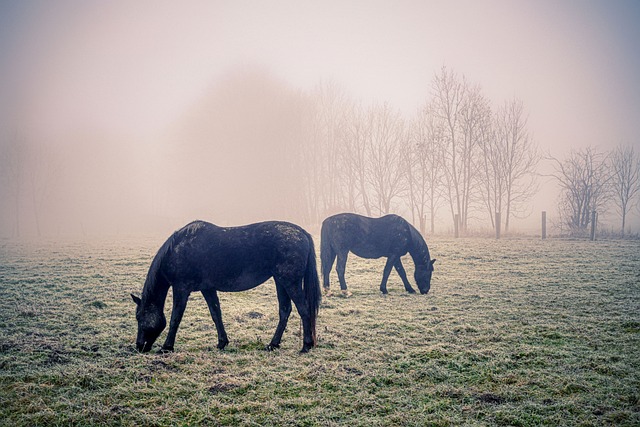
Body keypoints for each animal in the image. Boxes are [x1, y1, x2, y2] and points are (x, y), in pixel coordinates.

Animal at [131, 221, 320, 354]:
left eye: (139, 317)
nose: (139, 346)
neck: (178, 250)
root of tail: (302, 233)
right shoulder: (207, 289)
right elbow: (216, 314)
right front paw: (222, 342)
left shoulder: (181, 289)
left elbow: (175, 319)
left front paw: (167, 347)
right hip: (280, 281)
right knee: (285, 311)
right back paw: (273, 344)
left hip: (289, 282)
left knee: (303, 310)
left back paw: (306, 346)